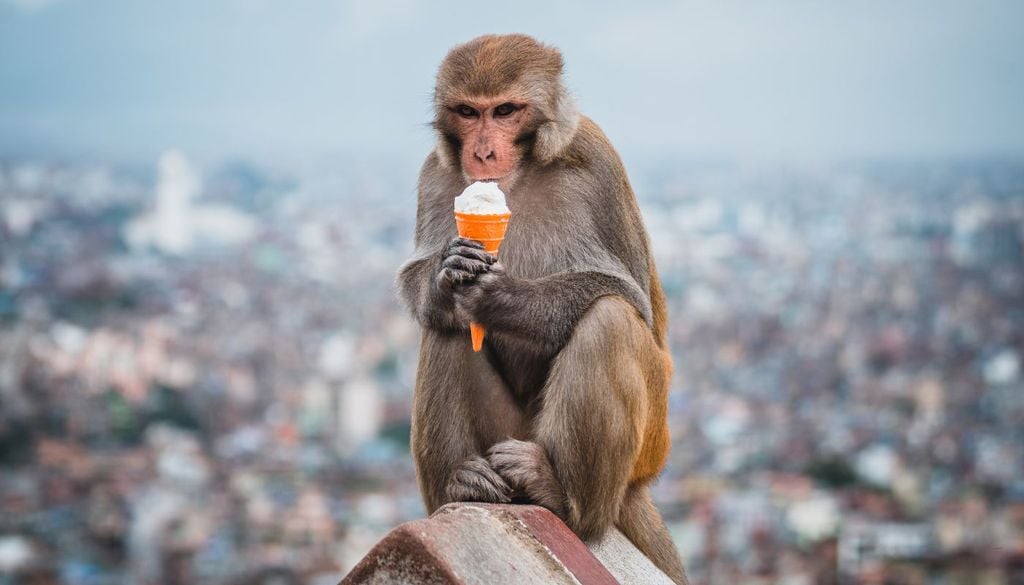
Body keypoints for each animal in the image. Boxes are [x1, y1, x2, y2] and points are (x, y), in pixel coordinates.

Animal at [397, 34, 688, 584]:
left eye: (505, 111)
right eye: (468, 111)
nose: (483, 152)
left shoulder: (597, 162)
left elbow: (630, 294)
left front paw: (503, 299)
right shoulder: (433, 173)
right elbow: (420, 281)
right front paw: (448, 278)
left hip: (645, 442)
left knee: (608, 319)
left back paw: (565, 500)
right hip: (507, 434)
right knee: (444, 326)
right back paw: (460, 485)